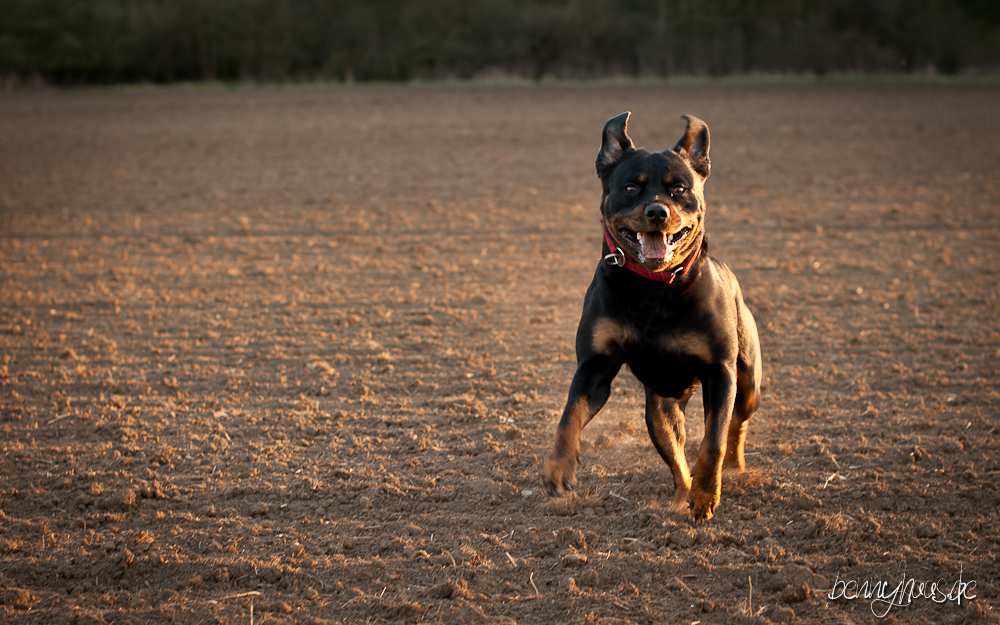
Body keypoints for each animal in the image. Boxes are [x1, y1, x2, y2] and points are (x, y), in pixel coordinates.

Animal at [544, 111, 760, 520]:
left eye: (679, 189)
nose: (657, 212)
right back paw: (680, 498)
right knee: (677, 458)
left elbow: (713, 440)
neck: (654, 288)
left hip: (747, 381)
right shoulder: (594, 366)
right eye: (631, 187)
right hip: (659, 411)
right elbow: (570, 415)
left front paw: (707, 495)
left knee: (735, 426)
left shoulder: (719, 372)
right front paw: (558, 468)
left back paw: (732, 469)